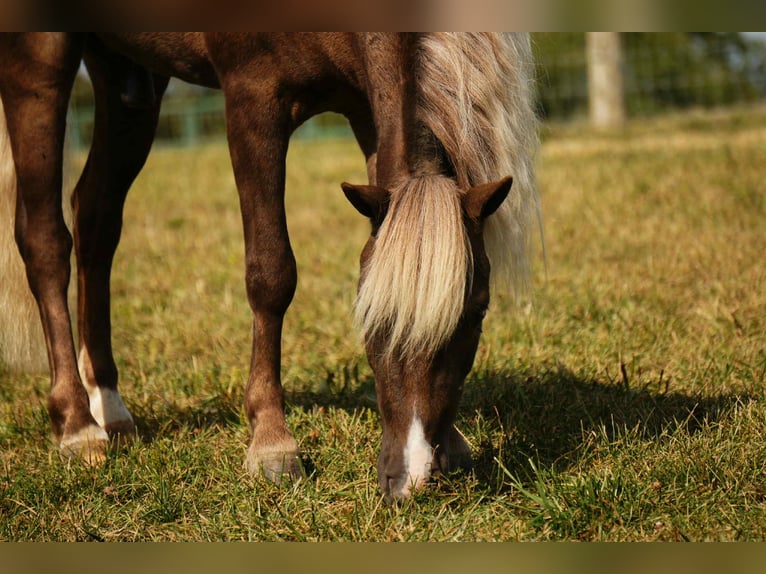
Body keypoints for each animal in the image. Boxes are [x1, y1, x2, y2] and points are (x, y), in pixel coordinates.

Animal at [0, 33, 539, 501]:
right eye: (369, 314)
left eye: (478, 312)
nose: (412, 476)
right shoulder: (252, 97)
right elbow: (271, 272)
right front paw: (272, 443)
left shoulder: (367, 110)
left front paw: (455, 443)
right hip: (39, 62)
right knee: (45, 240)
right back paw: (77, 426)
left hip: (127, 79)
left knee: (96, 218)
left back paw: (108, 405)